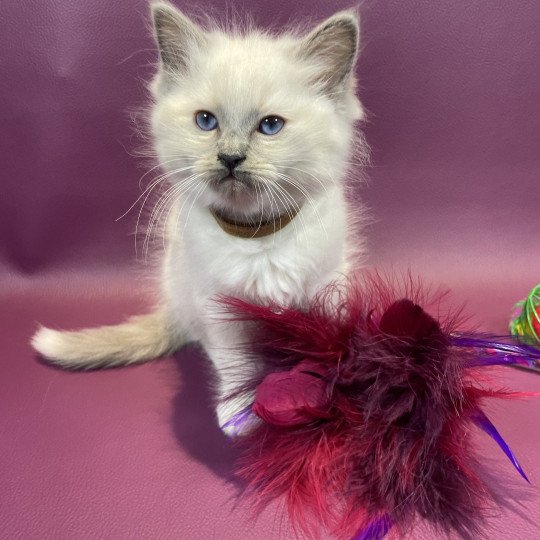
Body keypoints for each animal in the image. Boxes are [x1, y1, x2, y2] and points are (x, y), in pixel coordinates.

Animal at [29, 1, 368, 434]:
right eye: (206, 121)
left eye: (270, 126)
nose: (230, 158)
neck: (257, 235)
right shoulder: (219, 308)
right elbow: (236, 365)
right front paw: (238, 414)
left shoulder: (327, 289)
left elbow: (325, 347)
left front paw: (329, 393)